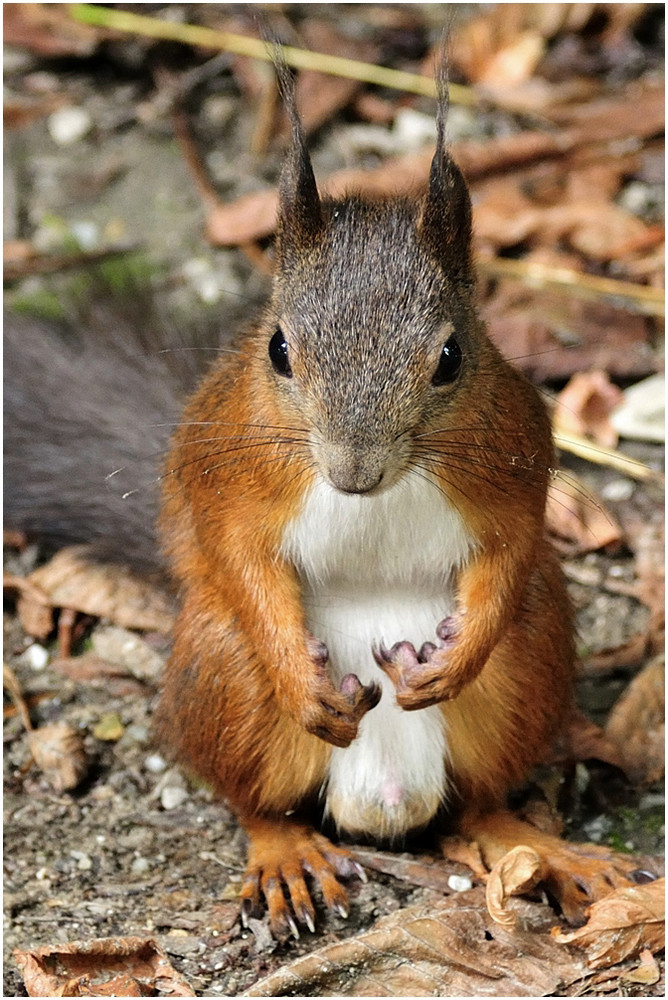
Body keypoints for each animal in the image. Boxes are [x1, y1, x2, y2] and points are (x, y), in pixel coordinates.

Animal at [7, 60, 640, 936]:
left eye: (452, 357)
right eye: (277, 348)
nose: (352, 473)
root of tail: (383, 798)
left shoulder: (516, 464)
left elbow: (511, 550)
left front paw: (458, 655)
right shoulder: (226, 480)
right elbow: (236, 553)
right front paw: (296, 674)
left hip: (528, 663)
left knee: (483, 803)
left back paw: (545, 846)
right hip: (225, 670)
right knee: (260, 803)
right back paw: (285, 856)